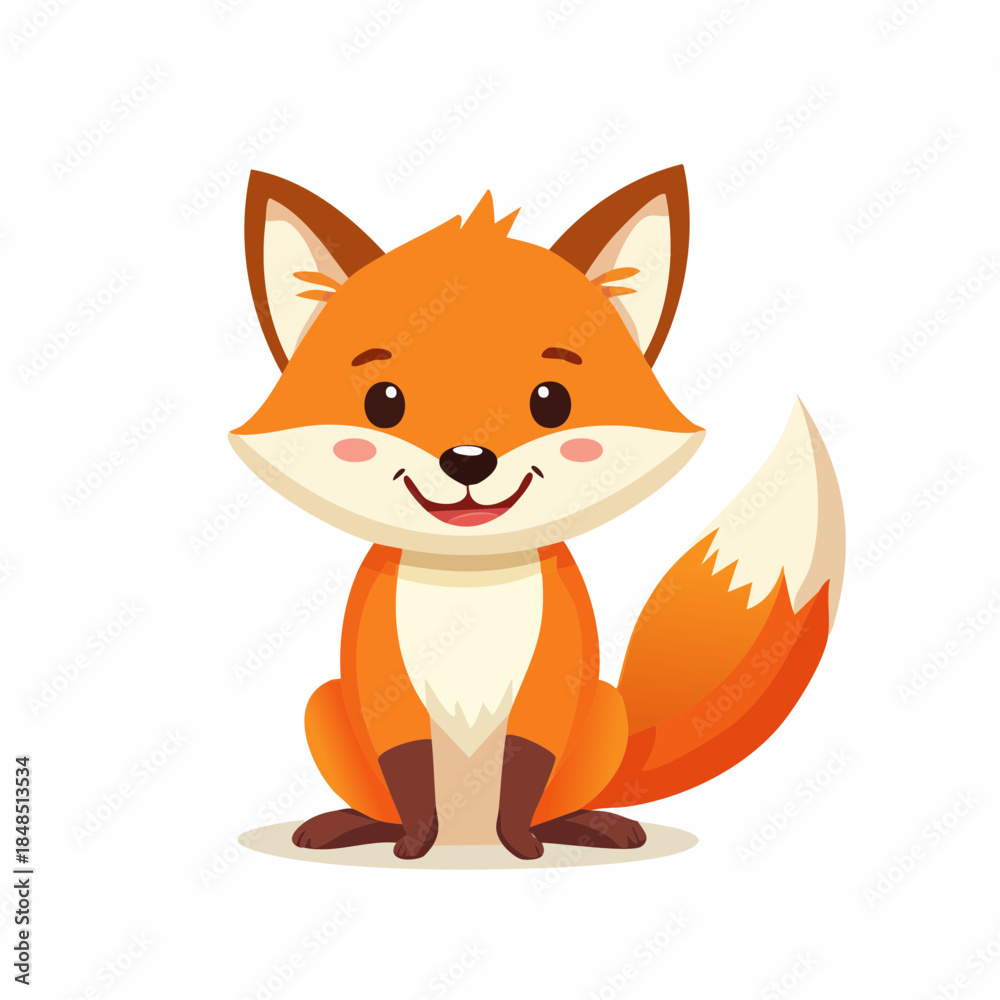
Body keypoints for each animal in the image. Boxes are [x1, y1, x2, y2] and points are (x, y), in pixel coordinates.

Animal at [230, 166, 845, 861]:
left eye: (551, 401)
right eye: (383, 402)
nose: (468, 460)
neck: (469, 584)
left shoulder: (553, 683)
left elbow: (525, 769)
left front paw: (523, 847)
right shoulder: (382, 684)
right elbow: (408, 772)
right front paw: (413, 845)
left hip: (604, 712)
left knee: (561, 800)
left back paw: (584, 826)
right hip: (323, 706)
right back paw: (356, 825)